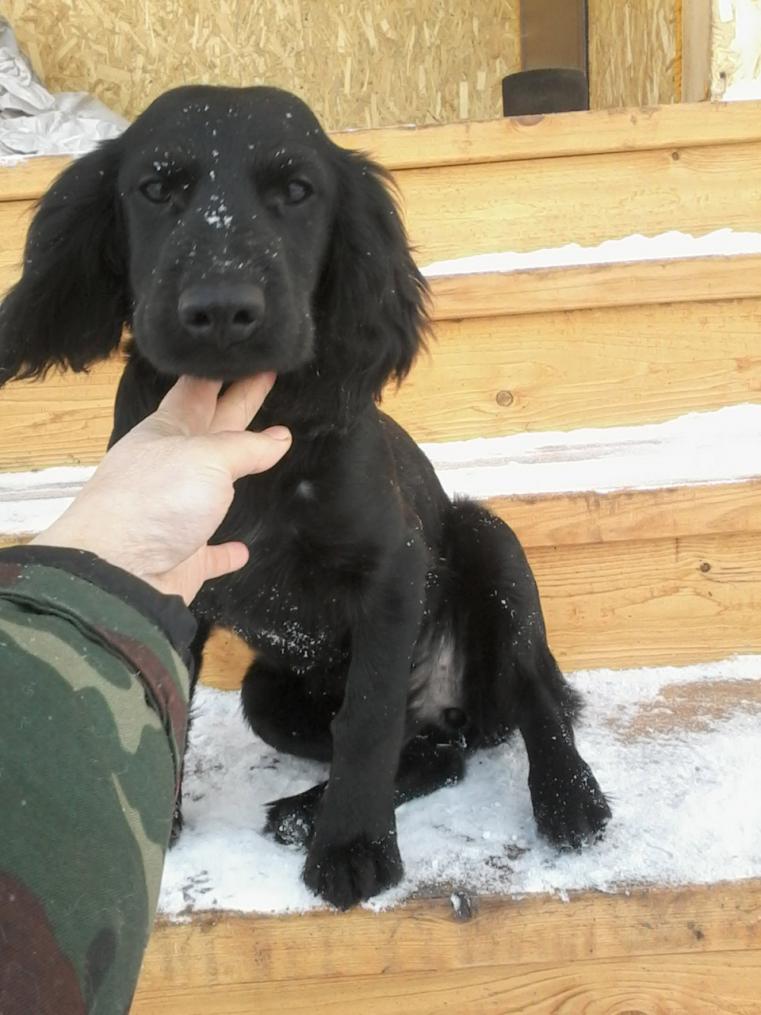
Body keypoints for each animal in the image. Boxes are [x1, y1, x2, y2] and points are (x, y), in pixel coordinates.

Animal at [0, 85, 611, 909]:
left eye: (296, 192)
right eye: (155, 189)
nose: (221, 311)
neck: (253, 422)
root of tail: (452, 703)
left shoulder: (392, 570)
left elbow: (366, 720)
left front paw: (354, 847)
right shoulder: (174, 581)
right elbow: (172, 703)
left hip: (492, 547)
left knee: (531, 699)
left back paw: (569, 798)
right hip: (268, 692)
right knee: (435, 750)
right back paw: (302, 809)